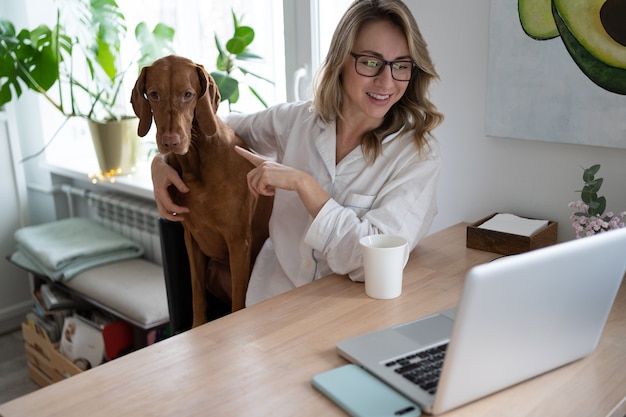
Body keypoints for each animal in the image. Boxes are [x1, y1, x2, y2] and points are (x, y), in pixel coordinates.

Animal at [130, 55, 270, 326]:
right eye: (153, 94)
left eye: (188, 94)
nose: (170, 141)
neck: (195, 164)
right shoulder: (191, 239)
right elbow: (196, 295)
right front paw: (197, 327)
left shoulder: (238, 241)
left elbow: (239, 303)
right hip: (212, 271)